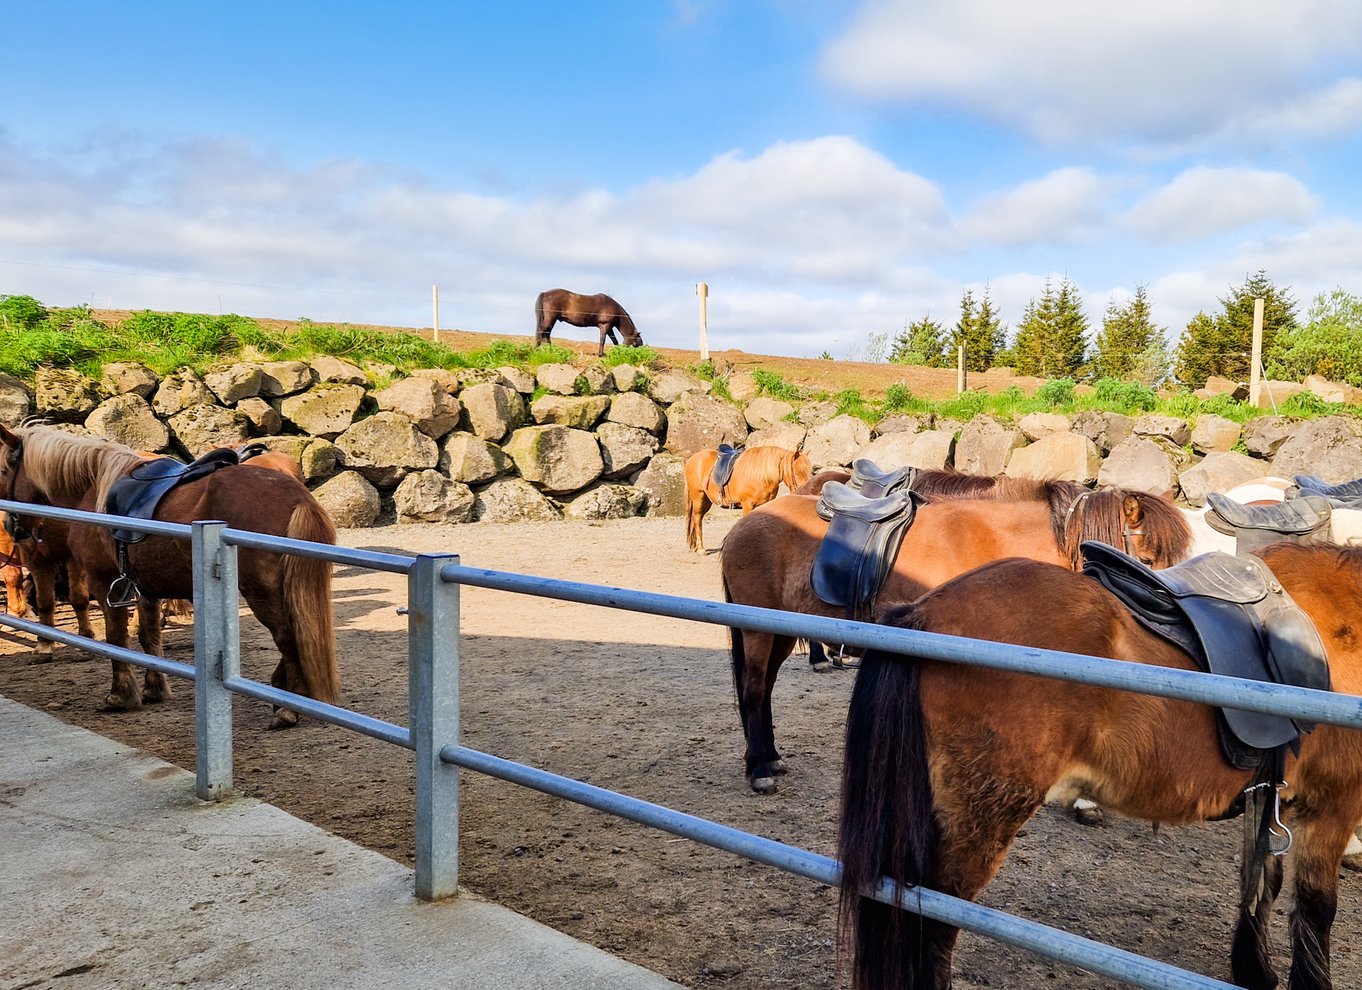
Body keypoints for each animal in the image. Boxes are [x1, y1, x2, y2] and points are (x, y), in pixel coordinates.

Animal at [0, 424, 339, 729]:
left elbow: (116, 639)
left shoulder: (104, 583)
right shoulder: (146, 590)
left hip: (262, 591)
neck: (94, 488)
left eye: (3, 471)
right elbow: (149, 637)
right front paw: (154, 689)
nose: (11, 526)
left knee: (288, 637)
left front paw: (121, 695)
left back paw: (288, 708)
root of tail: (297, 495)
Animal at [724, 476, 1193, 795]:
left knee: (764, 688)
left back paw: (770, 758)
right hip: (758, 629)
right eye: (1146, 560)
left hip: (781, 630)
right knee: (753, 688)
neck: (990, 543)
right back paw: (759, 769)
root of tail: (742, 525)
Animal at [833, 541, 1362, 990]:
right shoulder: (1333, 806)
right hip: (980, 820)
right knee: (937, 924)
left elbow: (1262, 886)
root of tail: (922, 614)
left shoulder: (1271, 799)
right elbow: (1316, 906)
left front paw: (1255, 971)